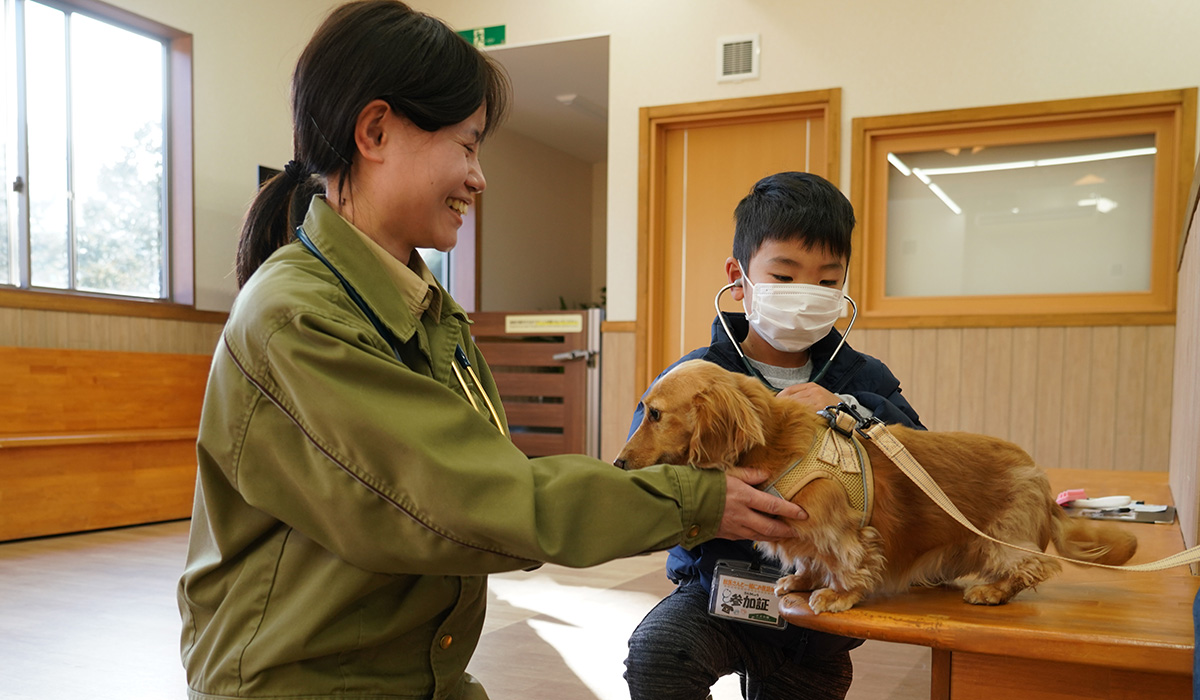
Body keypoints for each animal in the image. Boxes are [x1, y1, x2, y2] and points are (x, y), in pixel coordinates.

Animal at [614, 360, 1138, 613]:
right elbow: (810, 559)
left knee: (1034, 566)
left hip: (1004, 539)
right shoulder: (805, 535)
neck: (778, 442)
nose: (617, 463)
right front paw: (800, 581)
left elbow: (848, 561)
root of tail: (1039, 476)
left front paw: (837, 594)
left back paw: (992, 591)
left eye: (655, 414)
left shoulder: (841, 530)